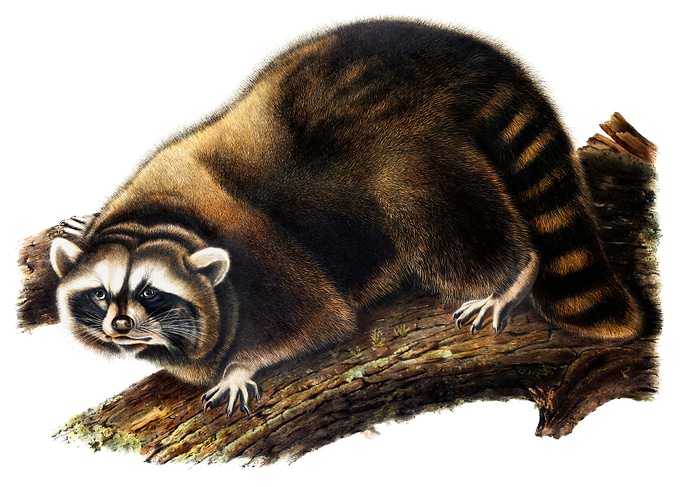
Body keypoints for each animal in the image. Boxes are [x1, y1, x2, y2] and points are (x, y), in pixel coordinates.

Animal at [49, 18, 644, 415]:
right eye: (100, 294)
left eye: (151, 293)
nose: (120, 326)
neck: (162, 221)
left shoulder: (264, 255)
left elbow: (320, 320)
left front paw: (242, 364)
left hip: (408, 149)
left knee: (433, 210)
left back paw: (511, 274)